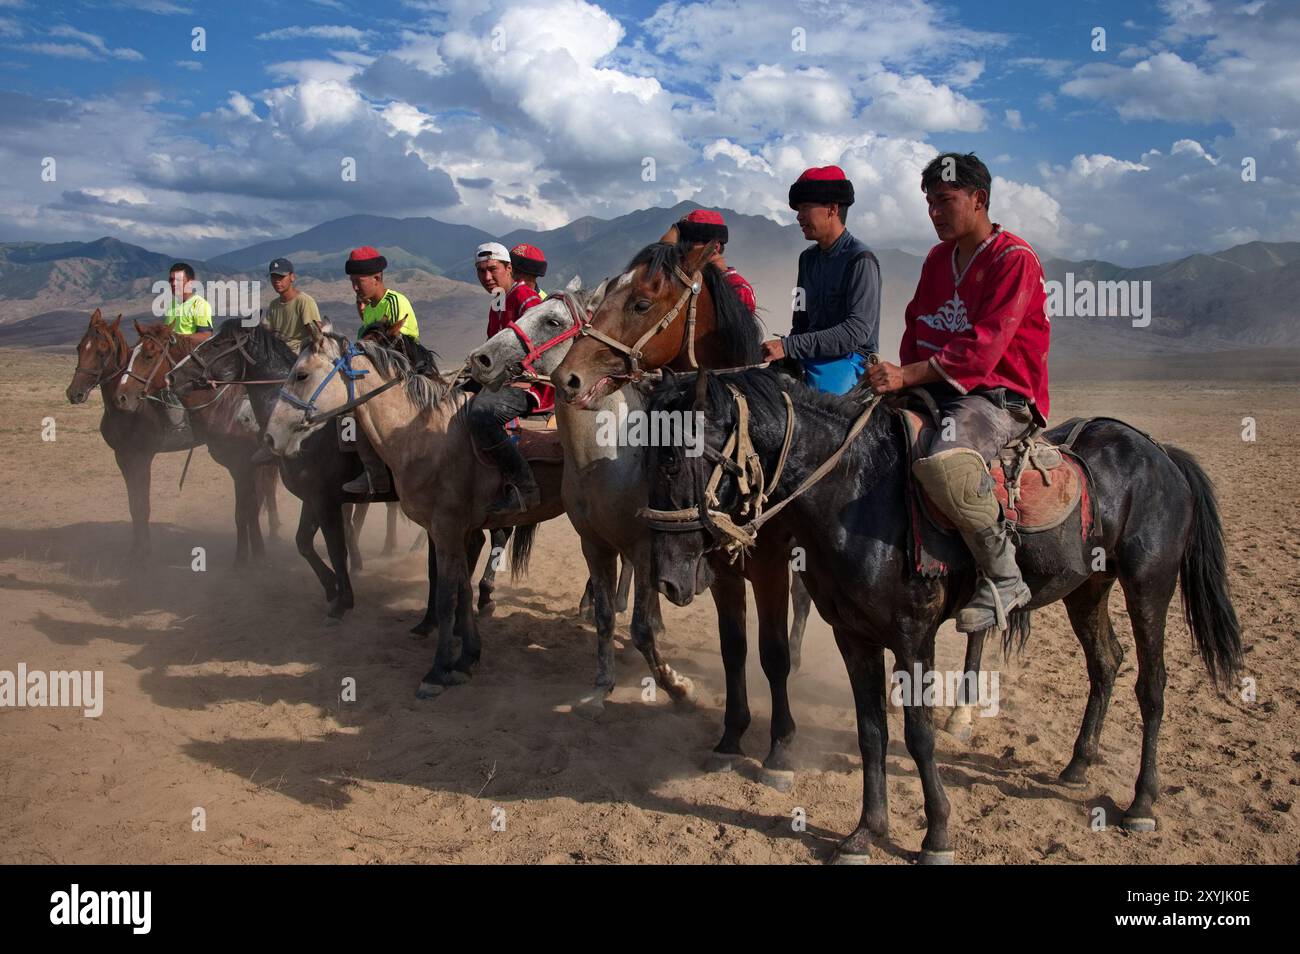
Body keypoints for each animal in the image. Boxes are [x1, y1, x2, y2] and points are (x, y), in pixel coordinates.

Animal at [116, 321, 276, 564]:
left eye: (149, 355)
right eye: (132, 351)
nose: (122, 396)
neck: (226, 406)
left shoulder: (243, 466)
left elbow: (245, 511)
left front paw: (246, 558)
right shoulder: (241, 468)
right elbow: (248, 509)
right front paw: (255, 553)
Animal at [262, 327, 564, 696]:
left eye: (302, 375)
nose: (271, 436)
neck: (423, 434)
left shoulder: (445, 529)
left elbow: (447, 597)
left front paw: (437, 671)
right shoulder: (452, 531)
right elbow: (461, 591)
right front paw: (467, 659)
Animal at [527, 243, 811, 790]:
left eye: (641, 302)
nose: (568, 378)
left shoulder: (763, 567)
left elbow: (769, 654)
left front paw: (779, 750)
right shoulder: (702, 565)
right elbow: (731, 647)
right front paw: (727, 735)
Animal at [644, 371, 1242, 868]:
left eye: (671, 460)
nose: (668, 580)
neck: (856, 492)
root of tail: (1161, 454)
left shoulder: (913, 638)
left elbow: (918, 734)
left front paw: (936, 836)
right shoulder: (853, 637)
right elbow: (871, 733)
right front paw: (866, 832)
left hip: (1149, 585)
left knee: (1152, 684)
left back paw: (1141, 803)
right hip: (1088, 588)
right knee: (1106, 662)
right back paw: (1077, 765)